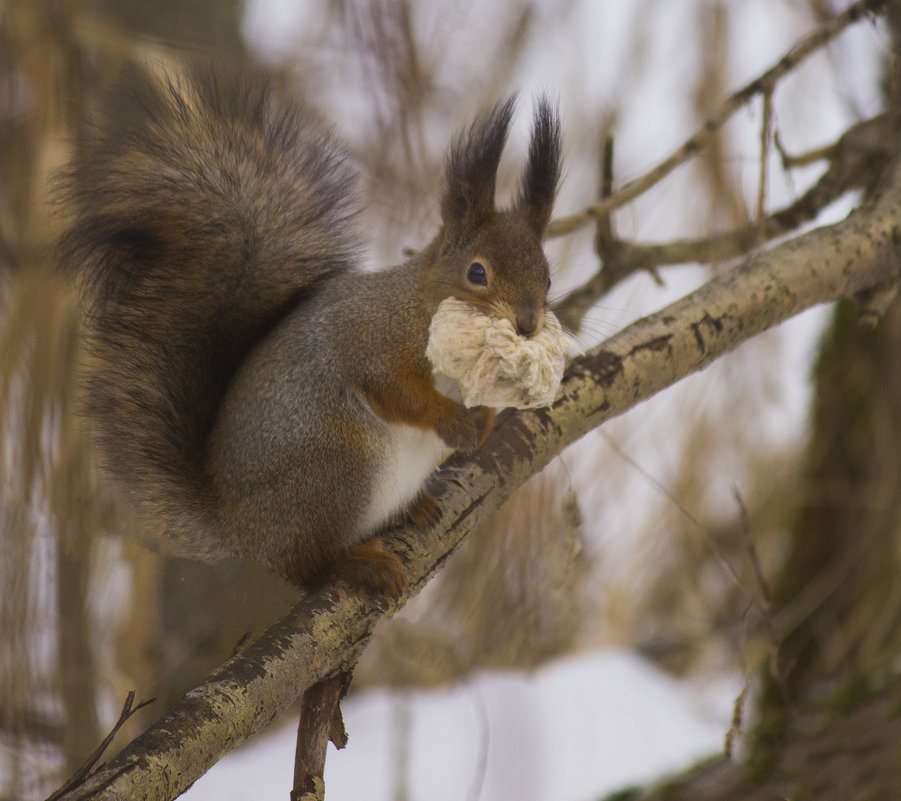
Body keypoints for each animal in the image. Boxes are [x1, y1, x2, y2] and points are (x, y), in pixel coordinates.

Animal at [59, 67, 560, 592]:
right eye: (477, 273)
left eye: (547, 277)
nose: (527, 323)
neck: (423, 308)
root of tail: (236, 528)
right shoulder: (373, 337)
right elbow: (395, 390)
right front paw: (455, 422)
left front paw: (484, 419)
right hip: (336, 465)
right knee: (297, 566)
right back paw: (356, 563)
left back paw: (414, 508)